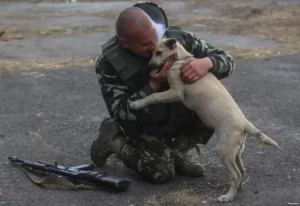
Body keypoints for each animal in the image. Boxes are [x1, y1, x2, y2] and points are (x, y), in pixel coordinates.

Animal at [130, 38, 280, 203]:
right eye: (152, 52)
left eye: (159, 52)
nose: (149, 67)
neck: (181, 59)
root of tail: (244, 123)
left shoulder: (176, 92)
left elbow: (154, 96)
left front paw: (137, 103)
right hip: (236, 151)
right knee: (242, 170)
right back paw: (237, 188)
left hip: (224, 150)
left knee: (236, 174)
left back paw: (227, 197)